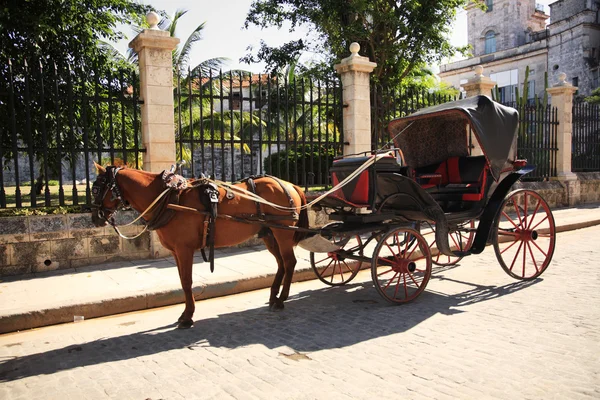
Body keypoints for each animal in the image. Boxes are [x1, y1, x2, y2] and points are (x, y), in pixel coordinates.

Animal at [91, 164, 312, 330]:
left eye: (96, 189)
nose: (95, 218)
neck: (169, 198)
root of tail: (289, 184)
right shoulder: (176, 252)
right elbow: (182, 281)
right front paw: (186, 313)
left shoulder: (184, 249)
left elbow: (187, 282)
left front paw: (188, 316)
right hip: (270, 234)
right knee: (281, 263)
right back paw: (274, 296)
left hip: (283, 233)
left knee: (289, 262)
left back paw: (281, 299)